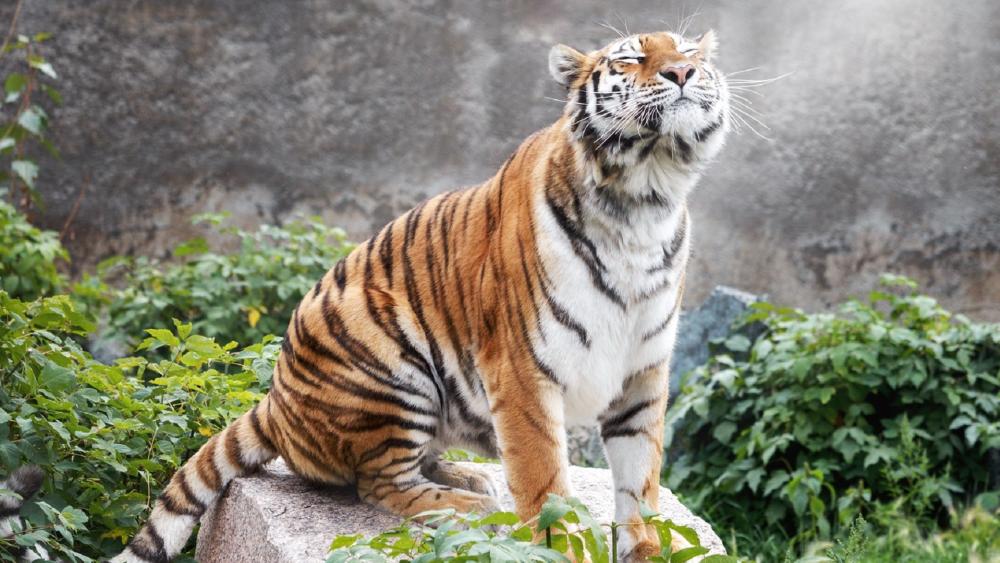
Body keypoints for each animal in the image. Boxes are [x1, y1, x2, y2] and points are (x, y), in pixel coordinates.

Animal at [112, 27, 730, 563]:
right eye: (631, 59)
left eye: (686, 51)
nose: (681, 71)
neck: (644, 198)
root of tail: (275, 402)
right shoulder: (522, 370)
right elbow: (544, 480)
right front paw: (560, 547)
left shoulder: (643, 373)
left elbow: (641, 483)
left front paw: (648, 550)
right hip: (390, 361)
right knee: (379, 483)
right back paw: (470, 506)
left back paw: (472, 478)